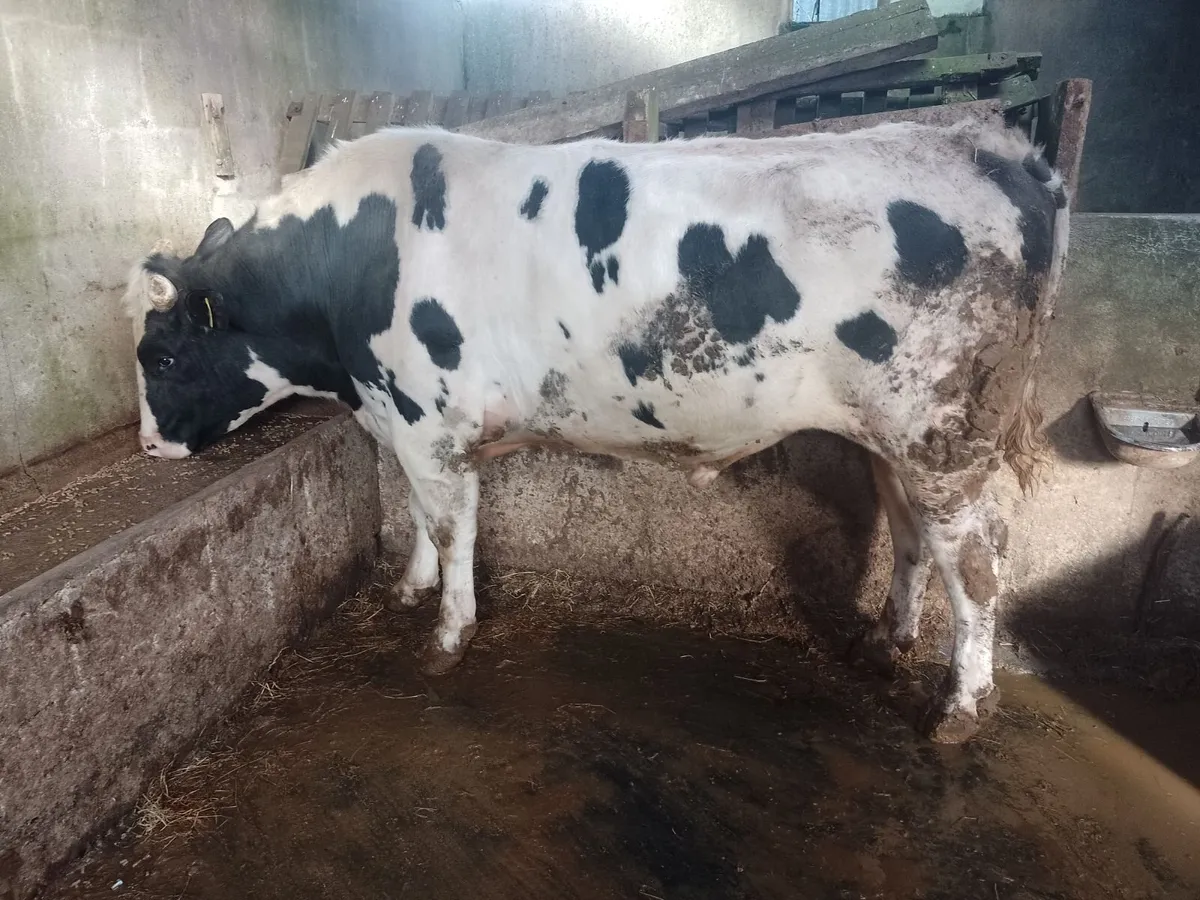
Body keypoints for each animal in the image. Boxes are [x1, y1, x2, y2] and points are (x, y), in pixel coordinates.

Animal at [122, 119, 1068, 743]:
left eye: (159, 355)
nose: (149, 446)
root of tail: (991, 146)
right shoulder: (406, 419)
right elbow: (423, 514)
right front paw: (413, 589)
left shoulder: (430, 418)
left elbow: (450, 524)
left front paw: (447, 635)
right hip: (893, 440)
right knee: (912, 538)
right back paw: (885, 640)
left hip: (941, 434)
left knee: (978, 562)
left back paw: (959, 709)